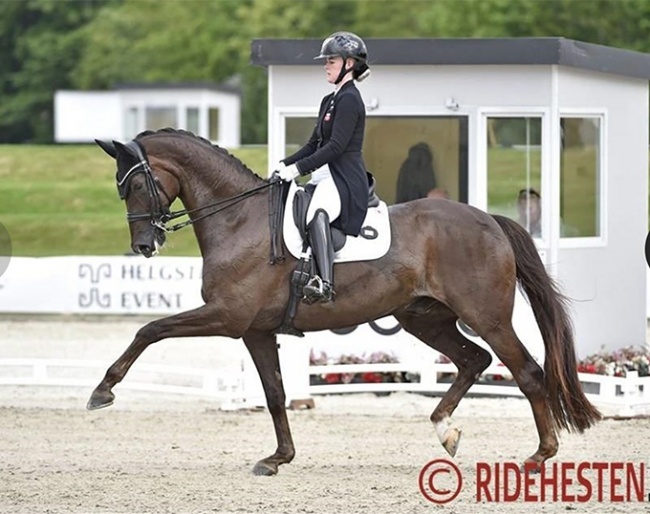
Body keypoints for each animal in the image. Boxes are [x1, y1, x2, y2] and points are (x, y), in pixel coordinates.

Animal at [86, 128, 596, 476]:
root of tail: (489, 220)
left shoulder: (227, 317)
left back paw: (539, 456)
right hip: (425, 318)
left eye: (134, 186)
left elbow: (149, 329)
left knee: (526, 372)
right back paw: (444, 428)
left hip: (486, 316)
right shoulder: (255, 330)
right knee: (474, 360)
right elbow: (275, 394)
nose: (144, 246)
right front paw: (278, 458)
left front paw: (102, 391)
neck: (238, 219)